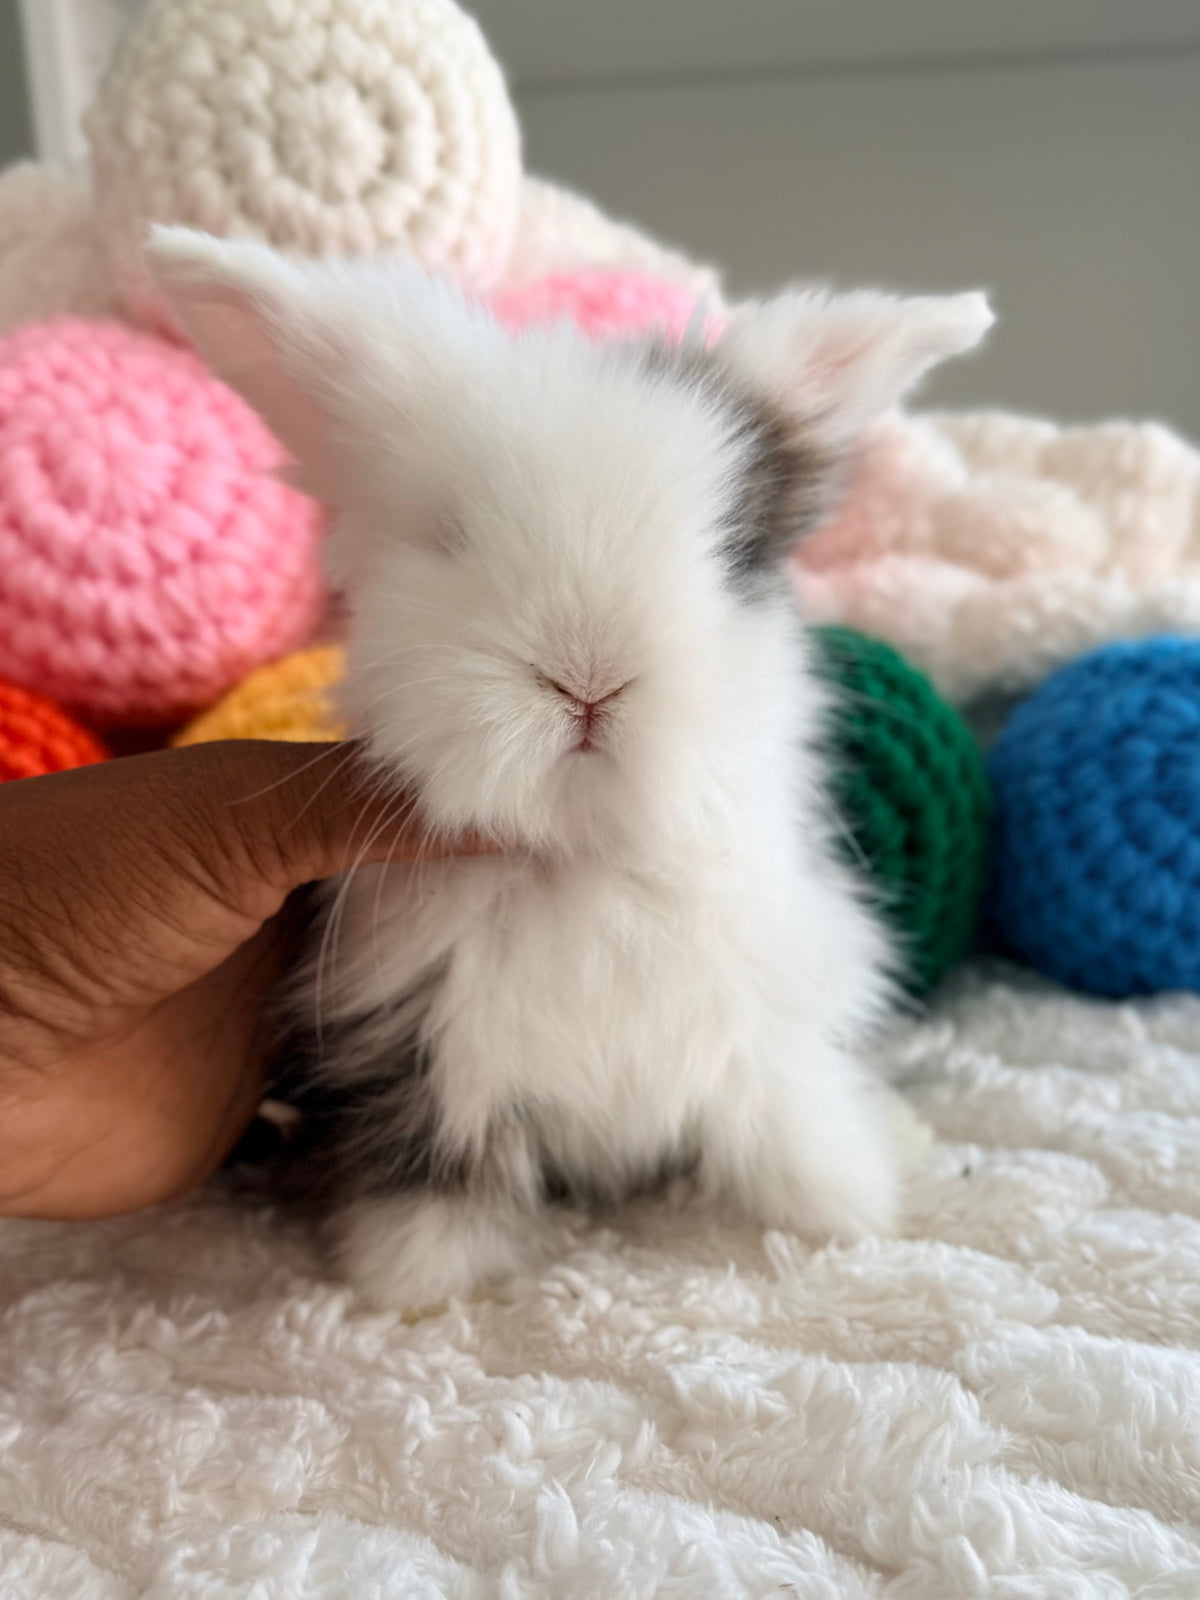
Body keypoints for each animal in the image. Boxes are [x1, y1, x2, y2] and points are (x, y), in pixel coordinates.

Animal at [147, 228, 992, 1311]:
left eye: (732, 553)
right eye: (448, 534)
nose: (589, 677)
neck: (584, 859)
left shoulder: (759, 1033)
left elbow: (788, 1124)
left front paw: (846, 1208)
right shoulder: (422, 1054)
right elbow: (435, 1174)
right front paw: (413, 1283)